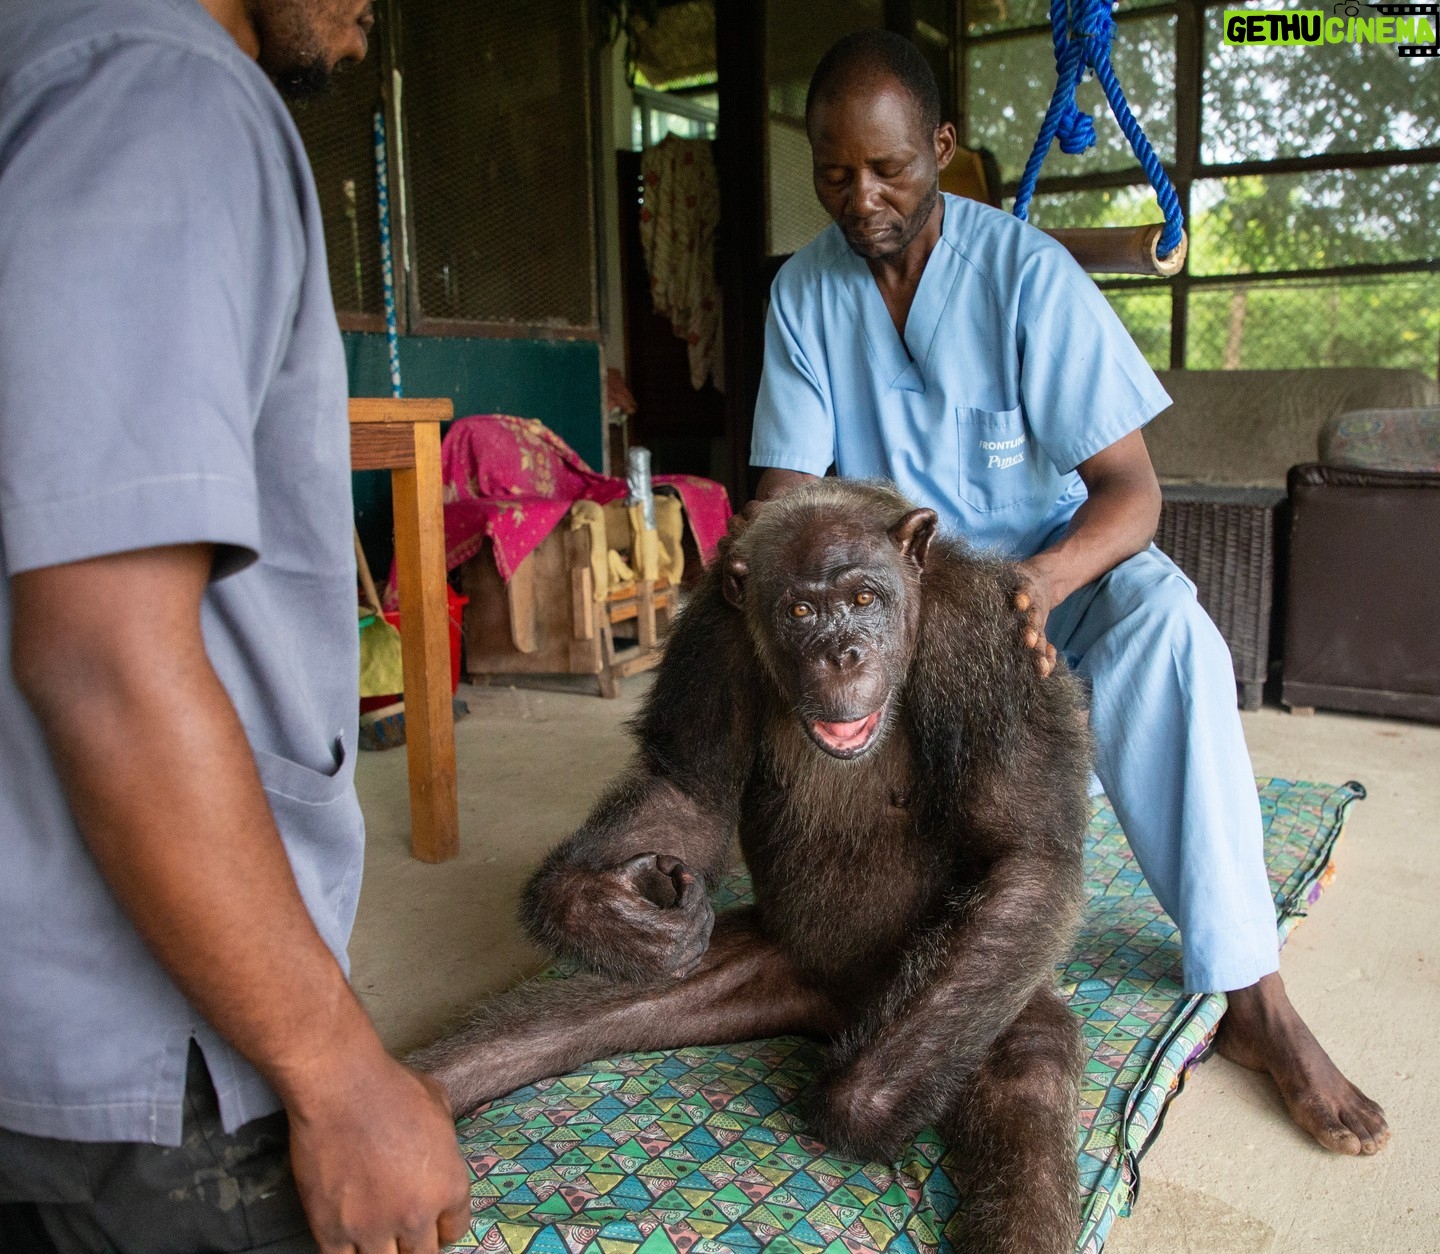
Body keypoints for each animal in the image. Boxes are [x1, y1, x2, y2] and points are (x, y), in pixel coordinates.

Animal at [409, 478, 1094, 1254]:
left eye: (864, 598)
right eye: (800, 611)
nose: (841, 653)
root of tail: (832, 1008)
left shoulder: (987, 643)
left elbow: (1023, 852)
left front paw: (860, 1103)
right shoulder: (711, 639)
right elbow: (689, 790)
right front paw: (604, 908)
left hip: (969, 1006)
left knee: (1026, 1080)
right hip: (760, 962)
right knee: (527, 1033)